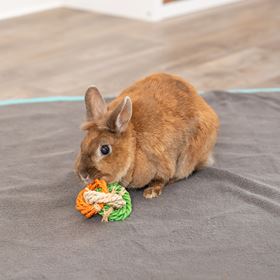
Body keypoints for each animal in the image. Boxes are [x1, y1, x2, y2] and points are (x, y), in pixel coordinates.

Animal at [75, 73, 220, 198]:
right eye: (82, 145)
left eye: (105, 149)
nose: (83, 175)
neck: (134, 145)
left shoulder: (162, 162)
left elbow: (161, 180)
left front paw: (151, 192)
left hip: (189, 157)